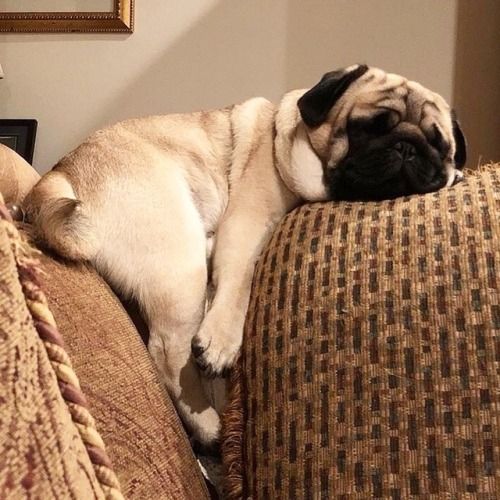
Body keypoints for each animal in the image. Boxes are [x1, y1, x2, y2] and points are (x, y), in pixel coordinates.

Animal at [23, 64, 466, 448]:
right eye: (365, 128)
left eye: (440, 145)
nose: (407, 147)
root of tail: (60, 174)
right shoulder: (246, 226)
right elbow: (240, 283)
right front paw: (222, 342)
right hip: (179, 261)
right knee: (169, 352)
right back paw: (209, 426)